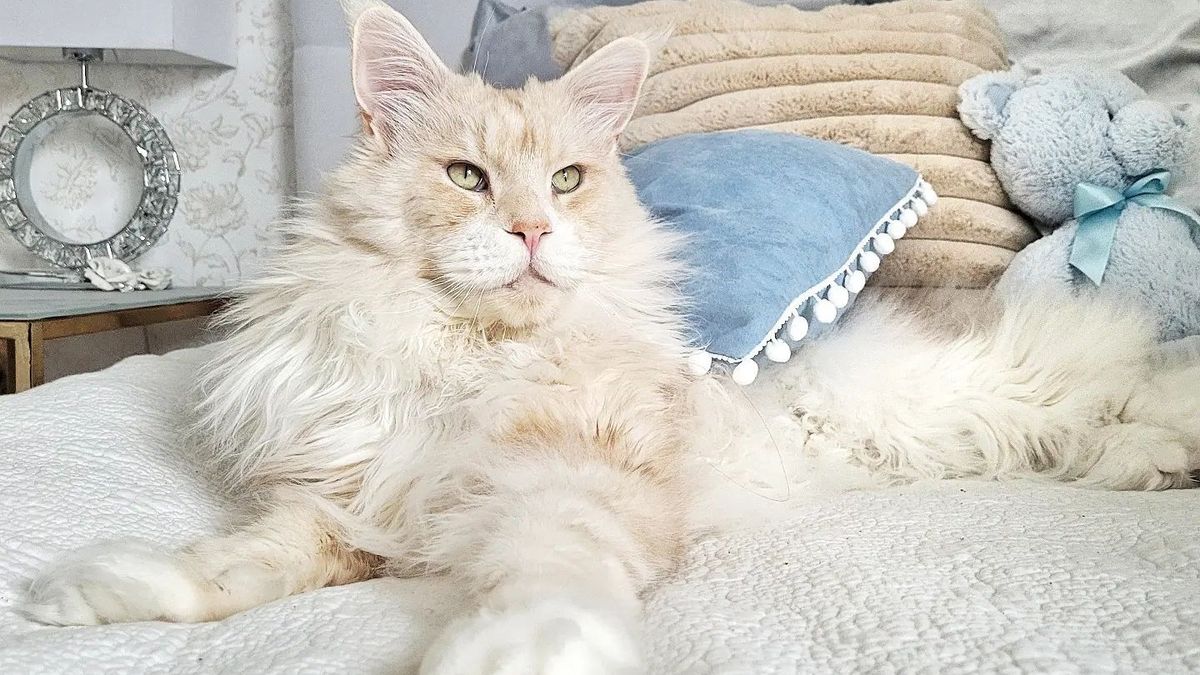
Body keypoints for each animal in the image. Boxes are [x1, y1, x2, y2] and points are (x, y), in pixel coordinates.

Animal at [21, 2, 1200, 667]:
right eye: (467, 178)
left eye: (568, 180)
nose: (534, 230)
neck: (465, 362)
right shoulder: (357, 502)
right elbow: (235, 566)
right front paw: (97, 596)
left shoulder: (573, 478)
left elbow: (551, 567)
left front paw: (526, 650)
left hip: (1019, 385)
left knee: (1137, 389)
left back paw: (1153, 461)